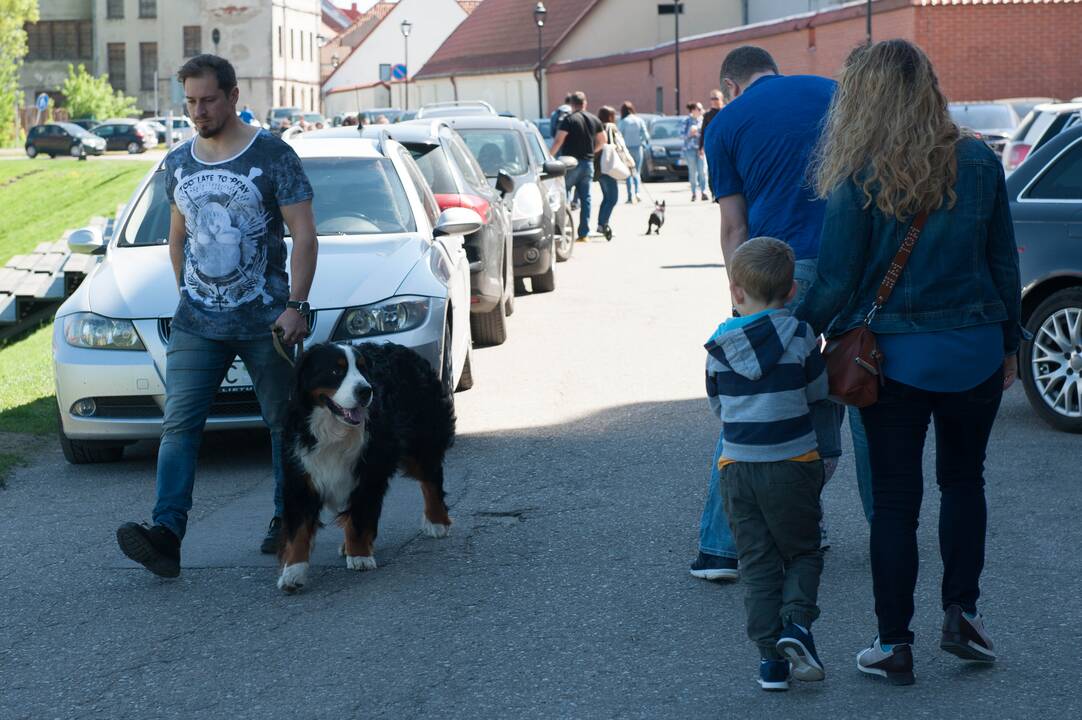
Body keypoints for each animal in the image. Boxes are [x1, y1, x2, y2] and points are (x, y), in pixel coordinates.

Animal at [279, 339, 456, 593]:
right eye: (336, 371)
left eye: (363, 370)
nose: (365, 391)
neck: (334, 430)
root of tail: (403, 349)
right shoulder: (301, 475)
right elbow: (299, 531)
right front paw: (293, 572)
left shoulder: (369, 472)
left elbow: (360, 516)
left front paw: (360, 556)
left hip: (421, 440)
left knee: (431, 479)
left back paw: (437, 522)